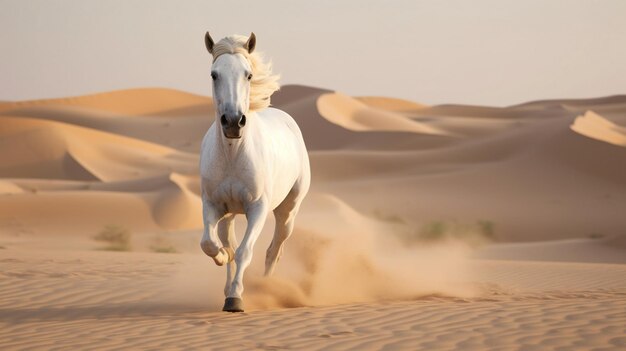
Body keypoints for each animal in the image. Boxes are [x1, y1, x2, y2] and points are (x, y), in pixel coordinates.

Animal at [199, 33, 308, 314]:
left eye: (248, 74)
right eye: (214, 74)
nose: (233, 122)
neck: (233, 154)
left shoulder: (257, 208)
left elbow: (245, 251)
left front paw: (236, 299)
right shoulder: (213, 205)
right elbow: (211, 244)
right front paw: (223, 263)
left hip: (287, 211)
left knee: (274, 249)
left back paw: (265, 287)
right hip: (228, 216)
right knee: (229, 242)